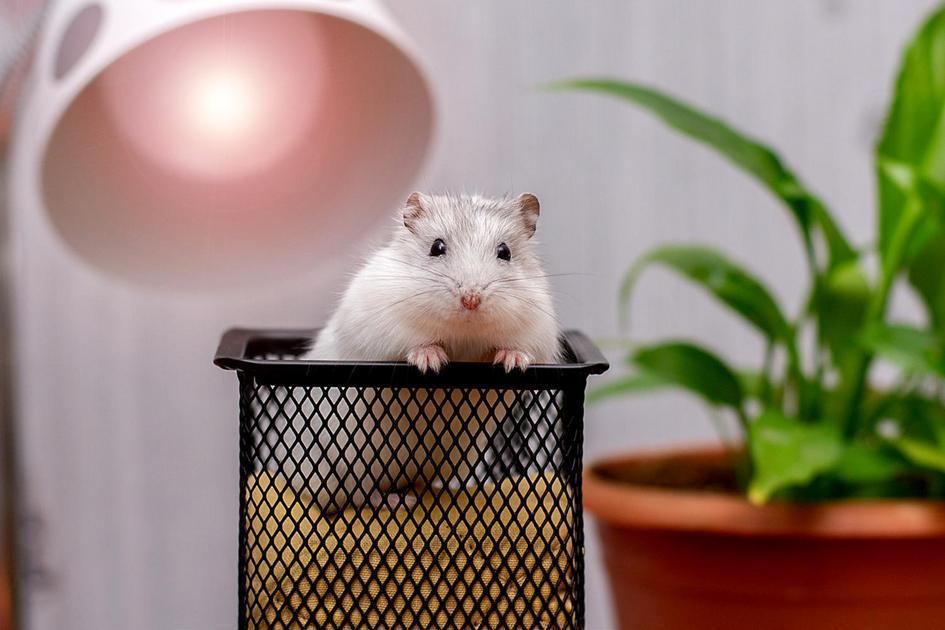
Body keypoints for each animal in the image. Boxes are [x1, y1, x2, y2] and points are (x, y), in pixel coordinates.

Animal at [293, 193, 560, 511]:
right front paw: (432, 361)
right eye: (437, 247)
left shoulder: (537, 332)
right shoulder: (379, 326)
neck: (463, 335)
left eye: (505, 252)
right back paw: (399, 501)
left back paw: (416, 491)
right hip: (346, 467)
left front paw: (512, 362)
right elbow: (413, 344)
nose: (471, 299)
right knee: (361, 497)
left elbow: (515, 348)